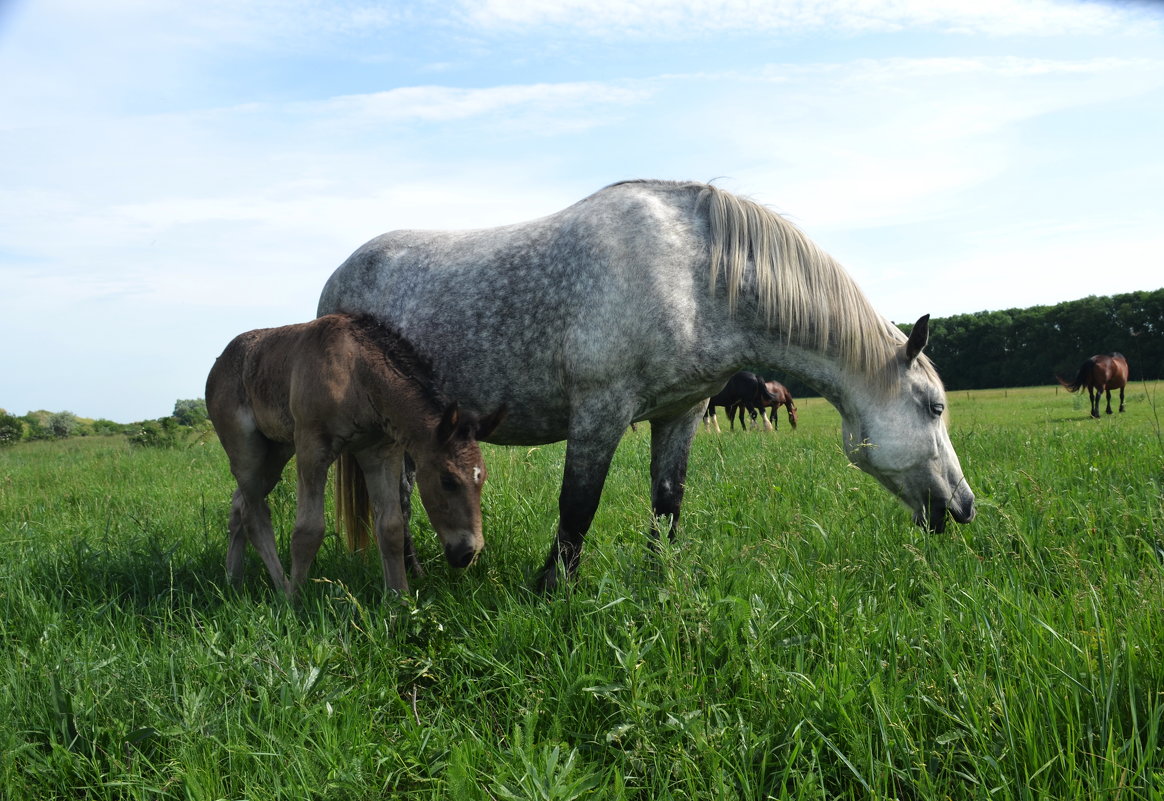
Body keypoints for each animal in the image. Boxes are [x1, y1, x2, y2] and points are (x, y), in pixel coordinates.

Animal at [206, 312, 505, 593]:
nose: (467, 553)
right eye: (448, 481)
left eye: (482, 478)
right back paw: (282, 588)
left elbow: (391, 528)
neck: (355, 373)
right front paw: (295, 603)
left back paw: (233, 581)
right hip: (247, 452)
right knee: (254, 516)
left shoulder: (380, 452)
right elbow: (307, 531)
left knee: (240, 505)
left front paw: (400, 600)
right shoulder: (311, 447)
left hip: (276, 452)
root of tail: (216, 368)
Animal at [316, 182, 973, 593]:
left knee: (398, 499)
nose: (963, 506)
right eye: (934, 407)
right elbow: (577, 508)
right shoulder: (599, 412)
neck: (691, 276)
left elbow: (668, 503)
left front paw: (662, 581)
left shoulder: (680, 413)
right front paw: (551, 589)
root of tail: (334, 282)